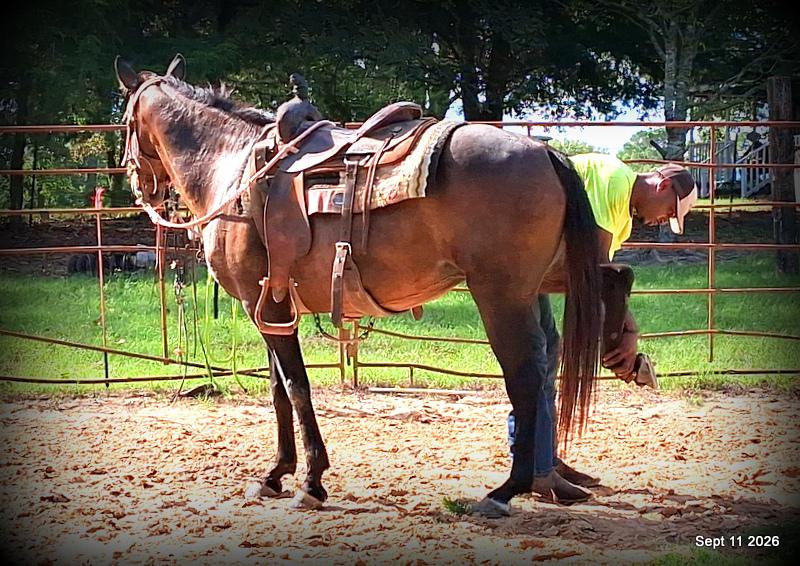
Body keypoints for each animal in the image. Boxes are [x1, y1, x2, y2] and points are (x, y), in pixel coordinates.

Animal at [114, 54, 604, 516]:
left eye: (126, 122)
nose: (140, 186)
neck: (232, 169)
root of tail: (544, 153)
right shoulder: (273, 308)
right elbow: (278, 390)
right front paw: (276, 474)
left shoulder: (261, 304)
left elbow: (296, 388)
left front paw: (310, 482)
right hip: (529, 296)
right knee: (544, 370)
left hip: (500, 298)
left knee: (524, 377)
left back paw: (503, 493)